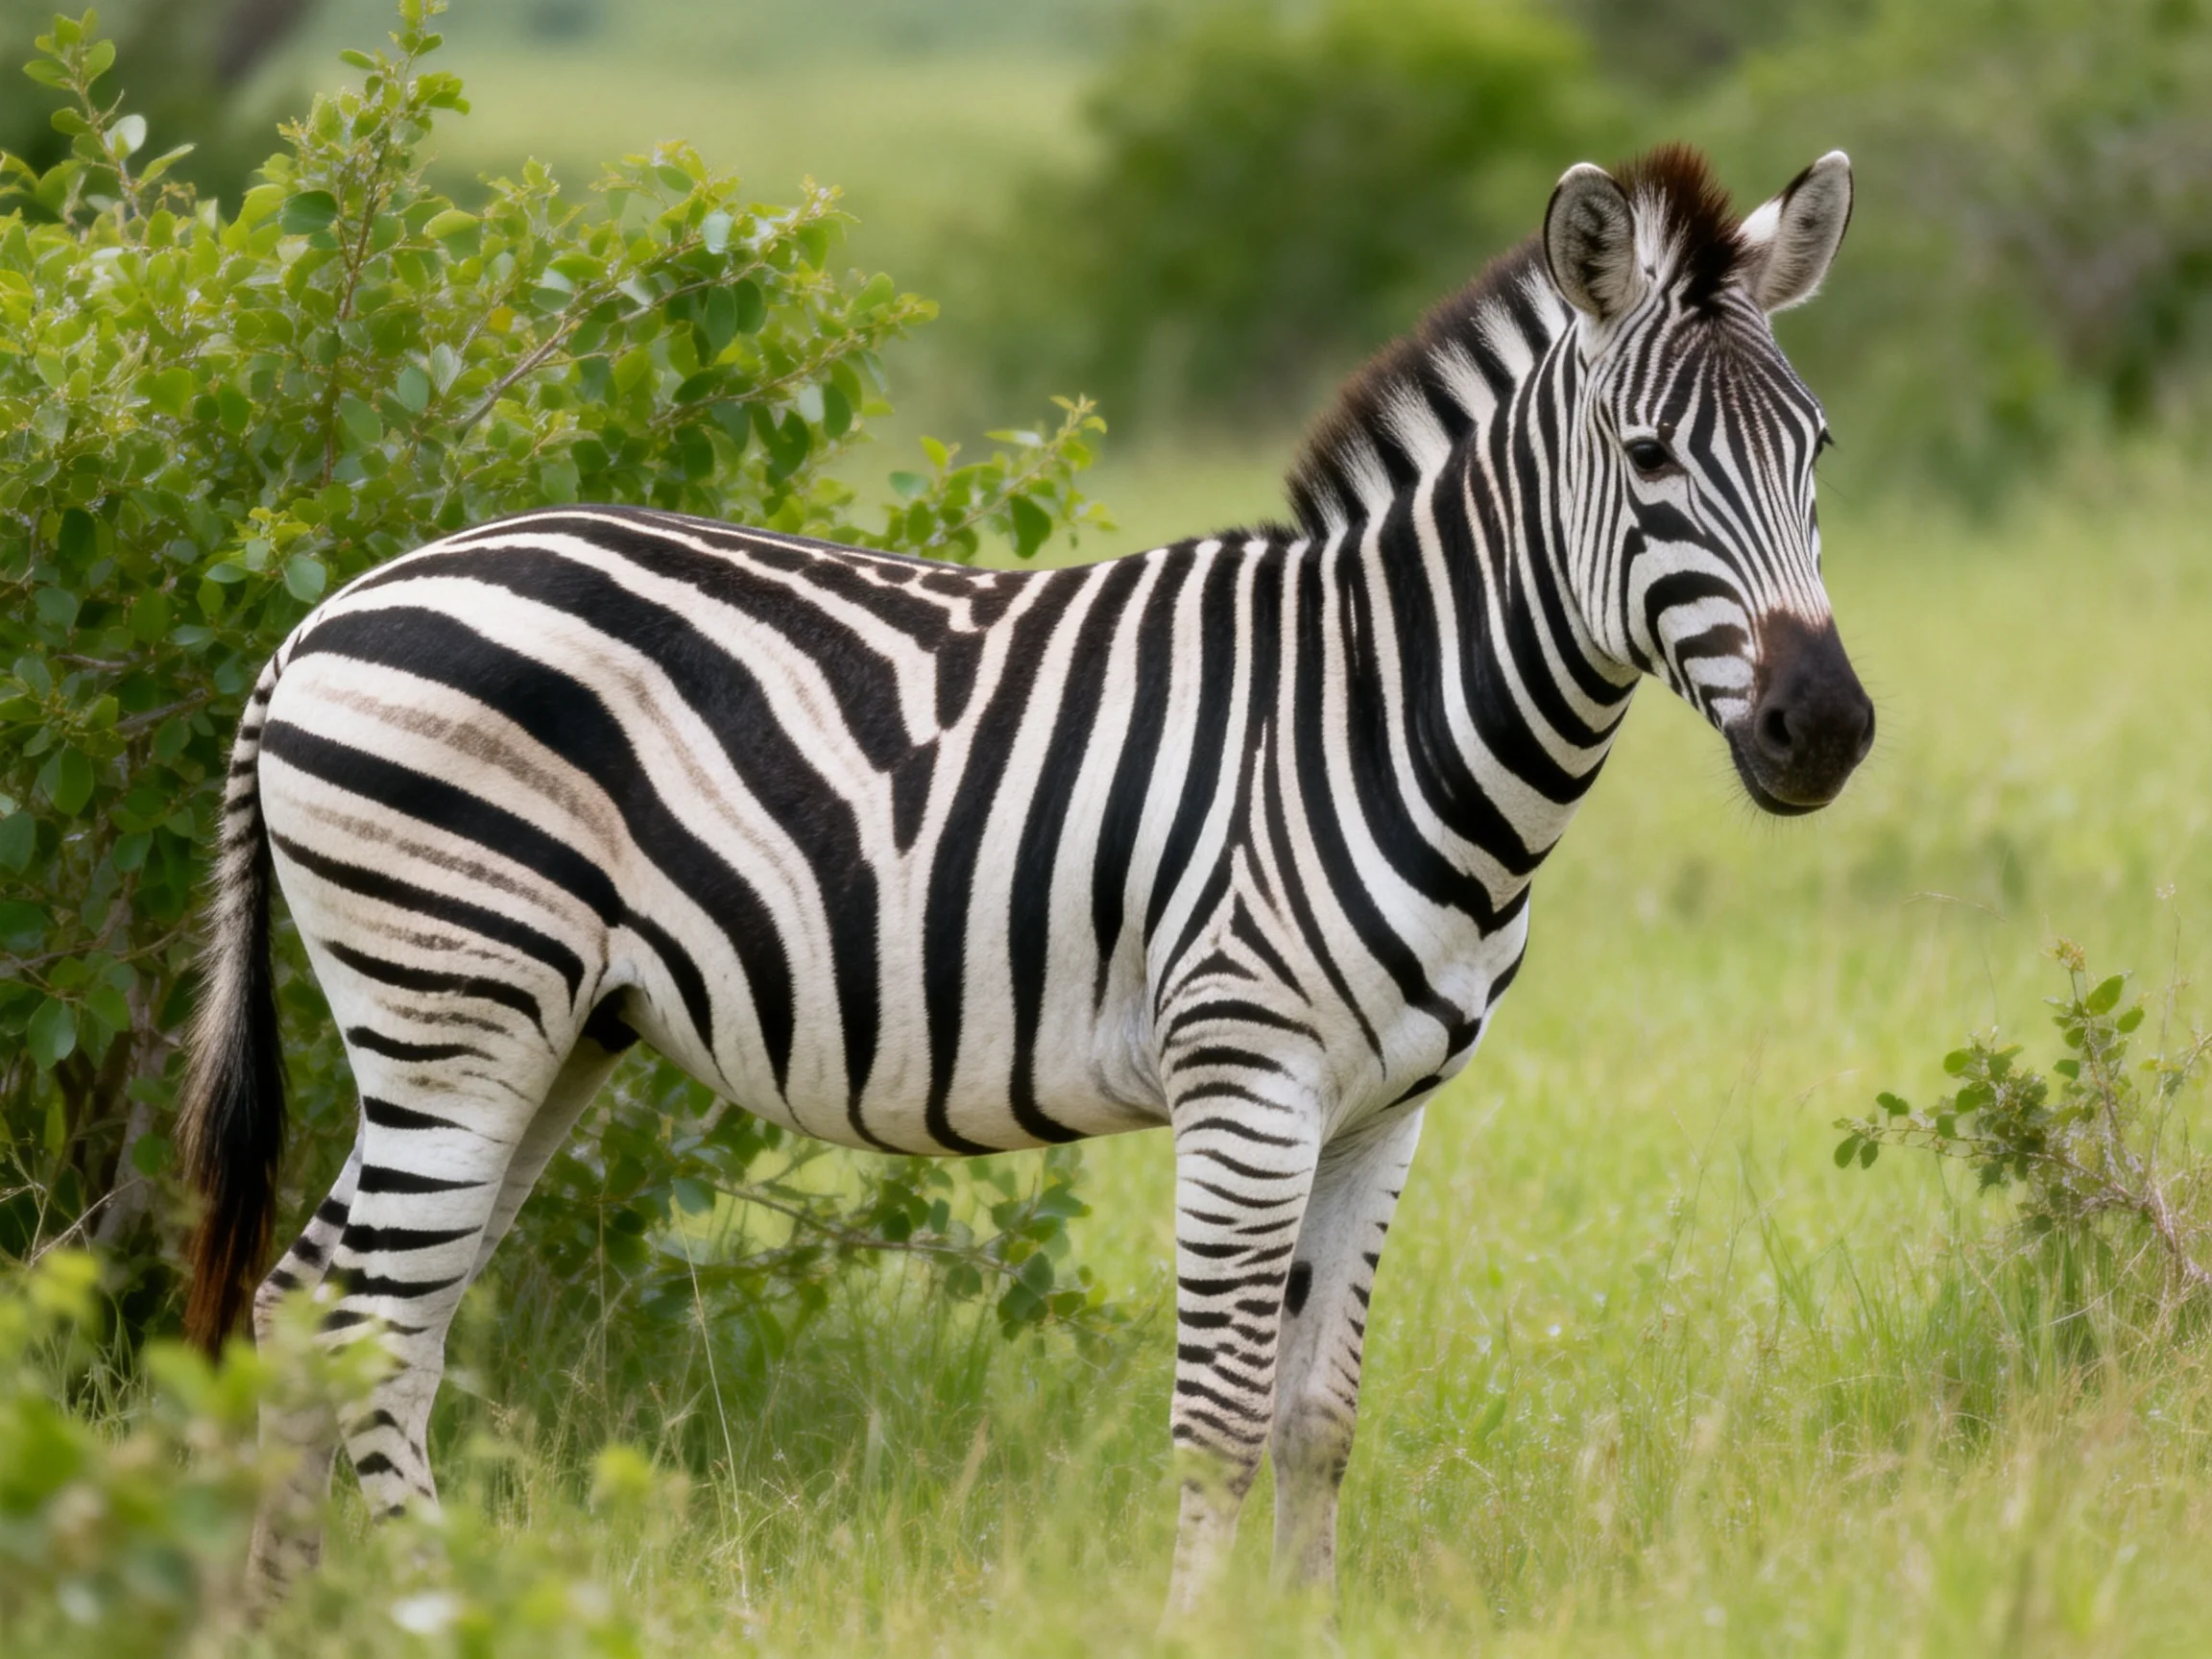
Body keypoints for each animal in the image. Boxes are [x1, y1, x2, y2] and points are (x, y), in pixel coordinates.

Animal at [178, 143, 1871, 1613]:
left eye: (1819, 454)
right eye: (1649, 459)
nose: (1829, 728)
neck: (1377, 709)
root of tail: (318, 617)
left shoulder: (1387, 1109)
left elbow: (1318, 1423)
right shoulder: (1247, 1082)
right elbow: (1220, 1423)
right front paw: (1195, 1631)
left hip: (545, 1037)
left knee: (308, 1306)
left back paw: (277, 1614)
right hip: (456, 1009)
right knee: (376, 1327)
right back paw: (425, 1606)